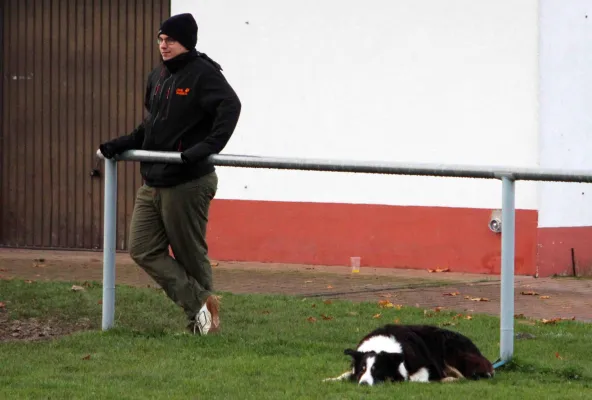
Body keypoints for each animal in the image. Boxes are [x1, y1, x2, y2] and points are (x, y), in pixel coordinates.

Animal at [324, 324, 494, 386]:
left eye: (377, 370)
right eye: (362, 369)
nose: (363, 384)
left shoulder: (428, 366)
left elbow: (412, 379)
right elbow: (346, 374)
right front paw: (331, 379)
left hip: (451, 352)